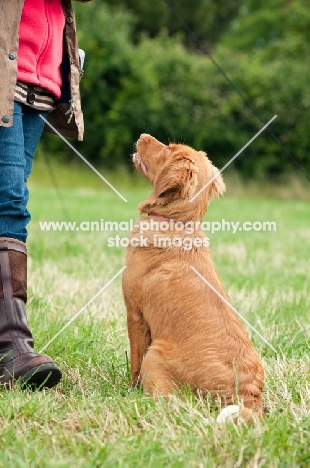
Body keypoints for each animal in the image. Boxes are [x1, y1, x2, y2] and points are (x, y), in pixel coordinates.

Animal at [121, 133, 264, 422]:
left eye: (168, 150)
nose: (142, 136)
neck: (179, 223)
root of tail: (247, 396)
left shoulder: (135, 313)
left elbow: (135, 362)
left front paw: (128, 390)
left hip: (156, 354)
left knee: (166, 401)